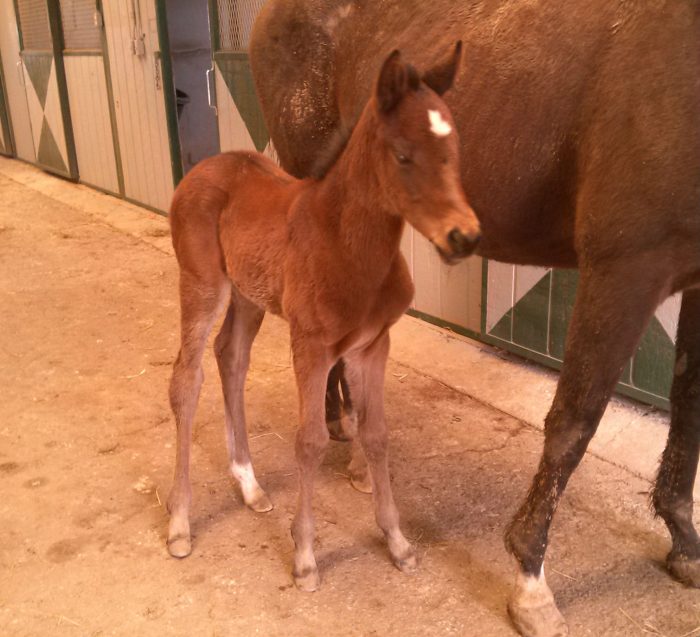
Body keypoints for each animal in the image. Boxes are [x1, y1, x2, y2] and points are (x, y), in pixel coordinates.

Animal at [165, 46, 482, 592]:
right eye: (403, 154)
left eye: (454, 149)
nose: (463, 236)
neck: (347, 246)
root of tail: (203, 168)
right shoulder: (310, 345)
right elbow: (310, 440)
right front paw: (306, 556)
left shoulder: (372, 345)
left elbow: (375, 435)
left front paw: (397, 542)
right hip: (202, 283)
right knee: (187, 377)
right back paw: (181, 523)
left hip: (248, 295)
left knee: (231, 357)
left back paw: (248, 484)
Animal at [250, 2, 700, 632]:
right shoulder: (625, 268)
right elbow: (574, 421)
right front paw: (531, 582)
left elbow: (688, 407)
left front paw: (684, 542)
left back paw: (350, 438)